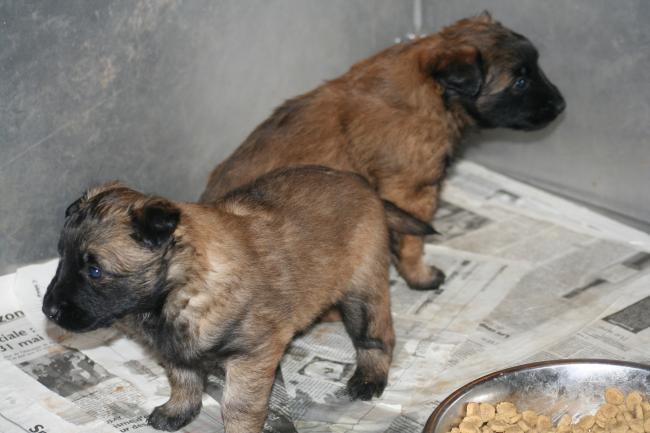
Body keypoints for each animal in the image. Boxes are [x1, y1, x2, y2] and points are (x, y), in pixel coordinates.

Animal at [43, 165, 432, 432]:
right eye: (61, 256)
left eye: (95, 270)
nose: (48, 310)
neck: (181, 286)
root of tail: (364, 186)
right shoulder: (177, 348)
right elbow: (184, 379)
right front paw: (178, 411)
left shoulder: (252, 355)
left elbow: (239, 406)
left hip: (362, 289)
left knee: (377, 336)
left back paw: (369, 378)